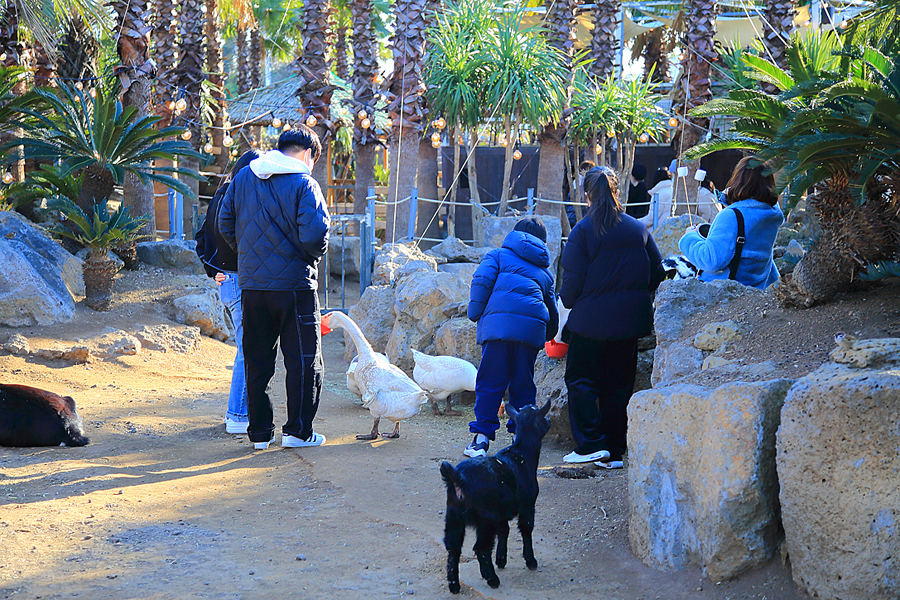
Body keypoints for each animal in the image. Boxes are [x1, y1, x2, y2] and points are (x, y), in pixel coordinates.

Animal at [440, 400, 552, 592]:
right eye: (542, 416)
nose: (550, 421)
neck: (522, 454)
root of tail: (457, 478)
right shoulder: (528, 504)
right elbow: (526, 529)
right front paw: (530, 561)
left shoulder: (503, 510)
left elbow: (504, 530)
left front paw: (501, 559)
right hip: (486, 518)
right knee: (481, 549)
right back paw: (492, 579)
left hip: (453, 515)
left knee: (453, 546)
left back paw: (454, 585)